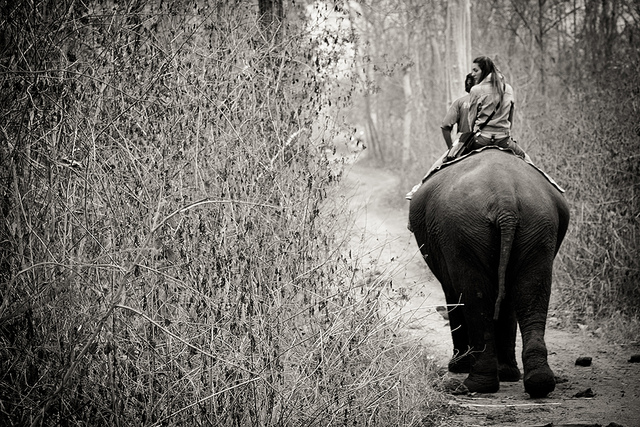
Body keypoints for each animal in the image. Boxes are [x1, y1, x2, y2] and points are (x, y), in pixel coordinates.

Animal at [408, 148, 570, 398]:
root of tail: (505, 199)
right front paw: (508, 374)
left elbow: (454, 294)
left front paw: (458, 367)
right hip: (538, 225)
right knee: (531, 292)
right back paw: (537, 382)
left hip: (463, 230)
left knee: (474, 297)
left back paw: (474, 385)